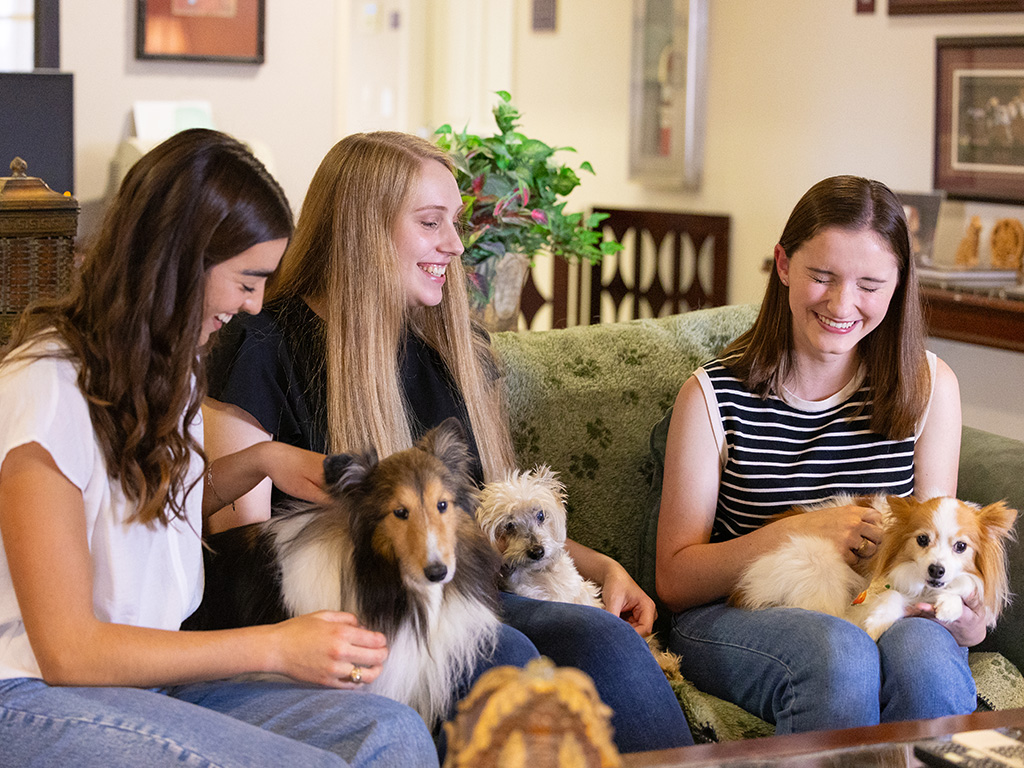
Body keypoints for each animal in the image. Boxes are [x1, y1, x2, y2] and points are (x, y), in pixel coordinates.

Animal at [729, 493, 1015, 643]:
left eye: (960, 547)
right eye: (922, 540)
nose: (936, 570)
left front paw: (949, 605)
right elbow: (890, 595)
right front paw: (876, 621)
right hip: (819, 564)